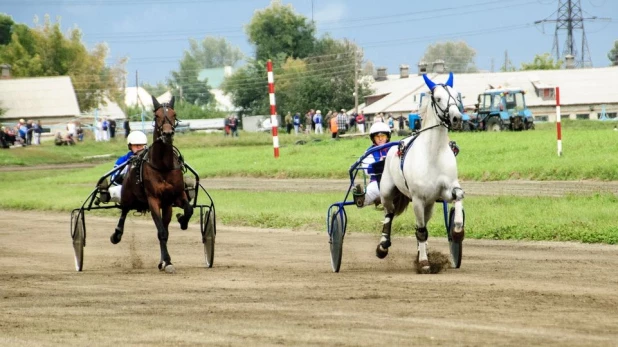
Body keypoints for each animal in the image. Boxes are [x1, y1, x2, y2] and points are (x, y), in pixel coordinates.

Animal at [110, 96, 192, 274]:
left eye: (174, 114)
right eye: (157, 116)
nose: (167, 134)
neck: (163, 166)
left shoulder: (176, 196)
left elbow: (188, 210)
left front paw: (182, 220)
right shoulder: (153, 199)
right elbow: (161, 232)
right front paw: (167, 261)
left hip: (166, 205)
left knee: (165, 225)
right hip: (128, 195)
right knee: (124, 211)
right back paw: (116, 235)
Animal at [376, 73, 462, 274]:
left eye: (456, 95)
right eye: (438, 98)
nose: (457, 118)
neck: (433, 153)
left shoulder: (445, 189)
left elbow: (459, 195)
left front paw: (457, 231)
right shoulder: (417, 198)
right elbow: (421, 232)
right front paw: (424, 263)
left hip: (429, 204)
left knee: (420, 223)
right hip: (387, 192)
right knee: (389, 214)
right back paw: (383, 246)